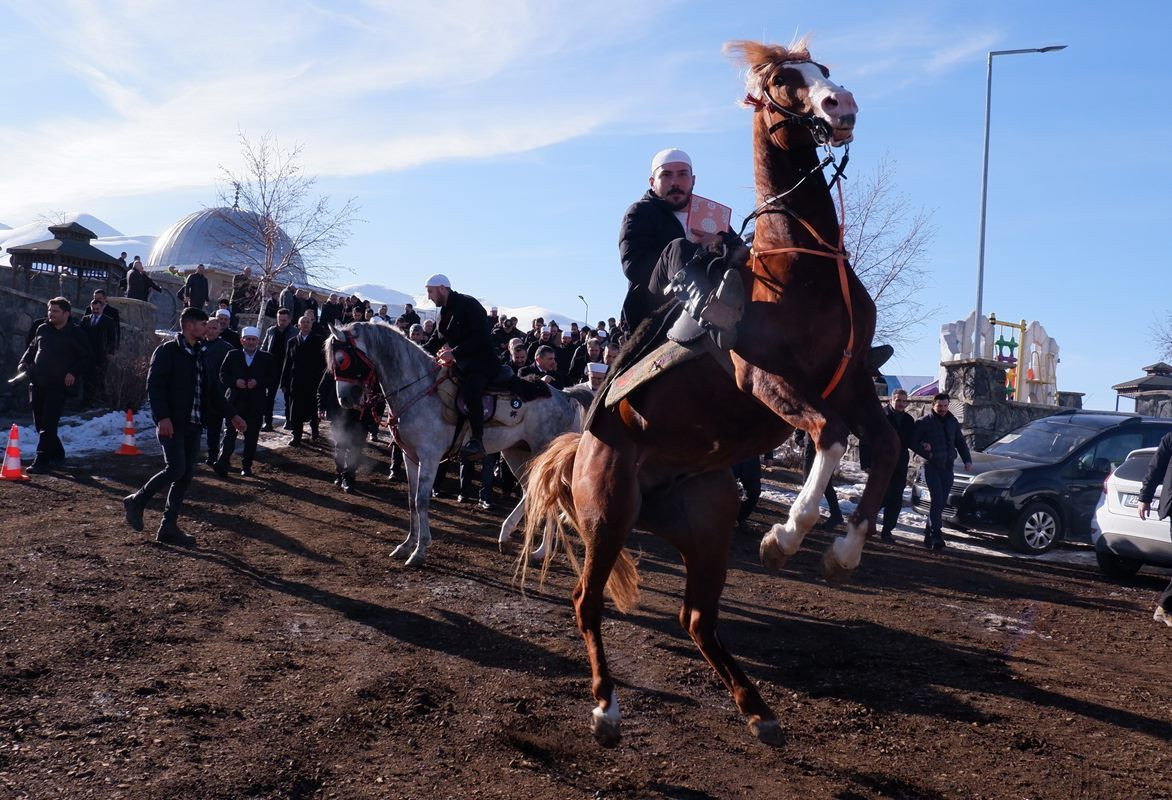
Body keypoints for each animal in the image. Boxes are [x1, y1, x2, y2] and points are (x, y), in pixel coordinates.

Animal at [328, 323, 583, 566]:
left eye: (342, 360)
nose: (345, 399)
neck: (419, 389)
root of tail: (564, 396)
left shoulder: (429, 457)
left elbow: (421, 501)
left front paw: (419, 550)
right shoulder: (410, 456)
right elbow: (411, 501)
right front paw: (406, 545)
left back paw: (540, 551)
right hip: (516, 452)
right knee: (531, 490)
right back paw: (512, 539)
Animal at [520, 40, 895, 749]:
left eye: (826, 73)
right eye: (783, 79)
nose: (842, 105)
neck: (797, 264)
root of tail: (582, 448)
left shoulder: (854, 379)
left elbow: (885, 451)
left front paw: (843, 554)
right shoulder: (764, 378)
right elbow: (831, 439)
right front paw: (787, 536)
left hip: (708, 527)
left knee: (696, 618)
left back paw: (758, 709)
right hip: (609, 513)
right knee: (587, 604)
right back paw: (606, 707)